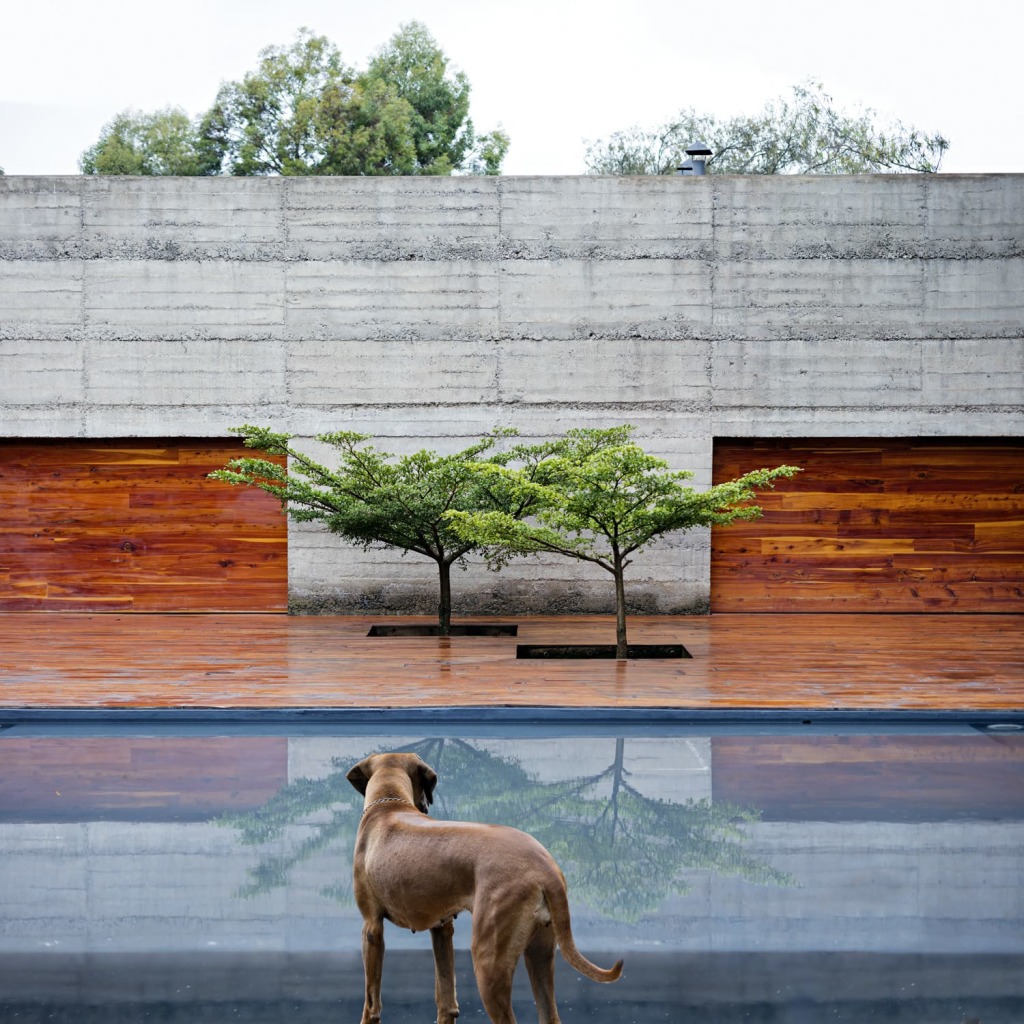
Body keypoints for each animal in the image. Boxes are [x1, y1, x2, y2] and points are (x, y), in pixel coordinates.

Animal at [348, 753, 622, 1024]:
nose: (425, 806)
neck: (389, 805)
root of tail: (546, 869)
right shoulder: (442, 929)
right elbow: (446, 999)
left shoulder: (371, 927)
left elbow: (371, 1002)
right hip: (540, 953)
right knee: (549, 1013)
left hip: (488, 960)